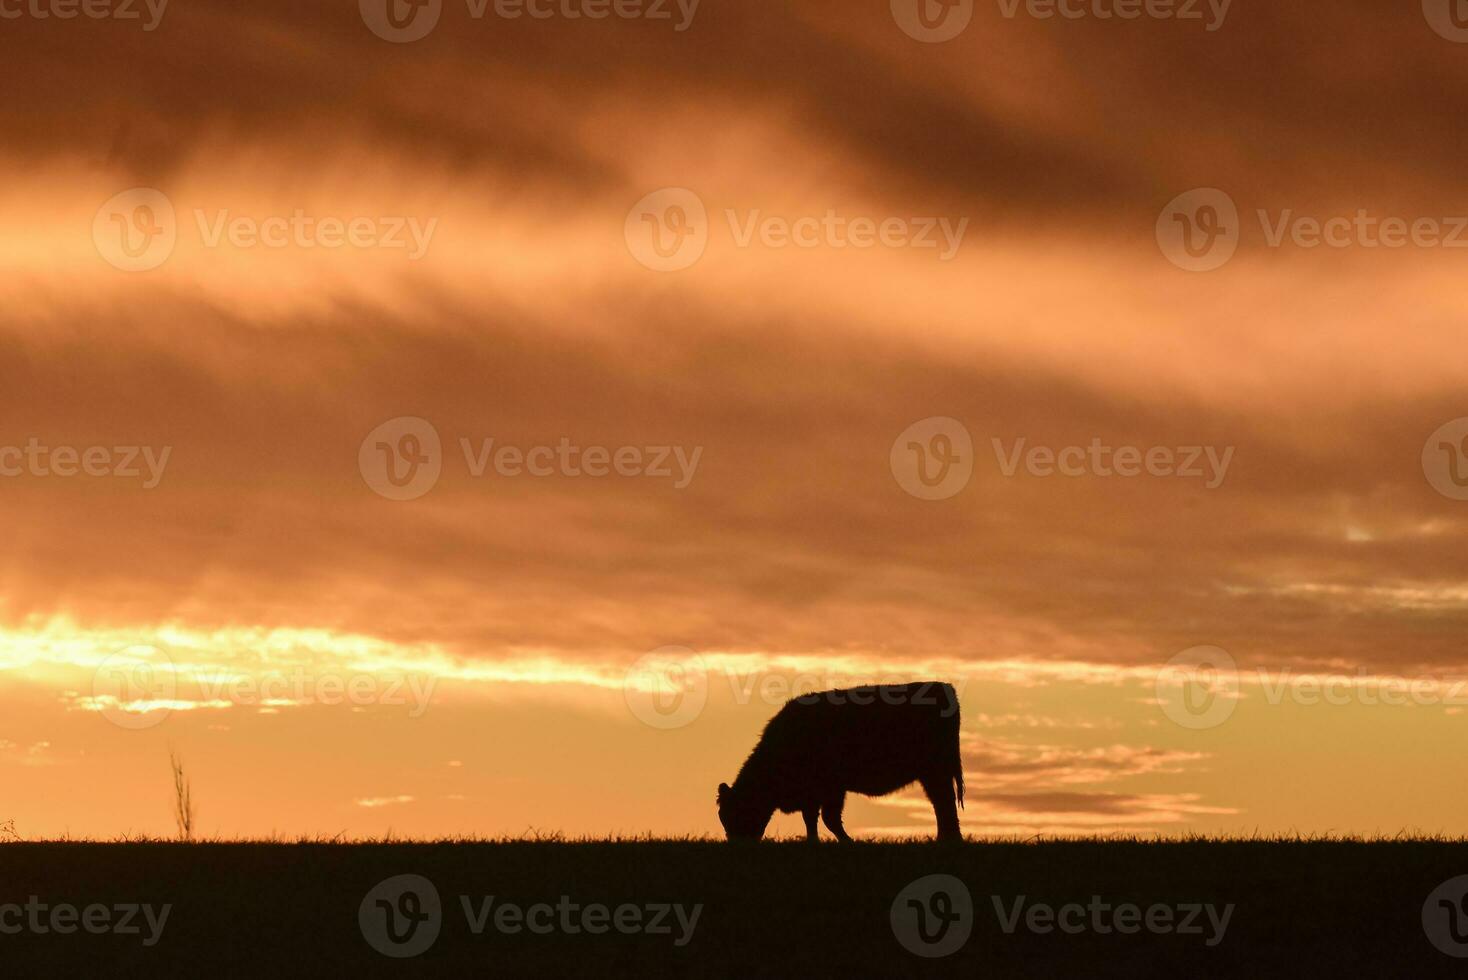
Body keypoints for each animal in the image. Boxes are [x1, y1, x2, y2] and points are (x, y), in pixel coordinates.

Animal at [713, 680, 963, 845]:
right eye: (723, 817)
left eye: (737, 812)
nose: (738, 845)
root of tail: (944, 687)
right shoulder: (818, 794)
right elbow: (814, 819)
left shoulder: (829, 789)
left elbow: (827, 818)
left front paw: (846, 841)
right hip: (931, 774)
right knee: (941, 804)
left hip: (936, 771)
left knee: (944, 803)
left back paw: (949, 840)